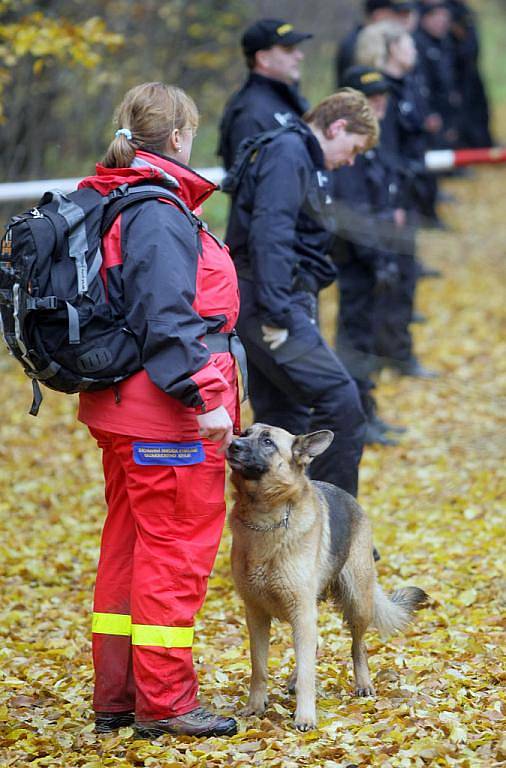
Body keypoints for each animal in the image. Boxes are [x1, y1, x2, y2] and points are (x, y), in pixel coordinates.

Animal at [227, 426, 428, 732]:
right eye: (245, 433)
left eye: (267, 441)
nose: (232, 444)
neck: (266, 518)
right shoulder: (257, 615)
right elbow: (258, 667)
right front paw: (255, 706)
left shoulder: (301, 611)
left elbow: (309, 672)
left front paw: (305, 716)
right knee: (316, 645)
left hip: (357, 603)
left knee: (358, 646)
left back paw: (363, 683)